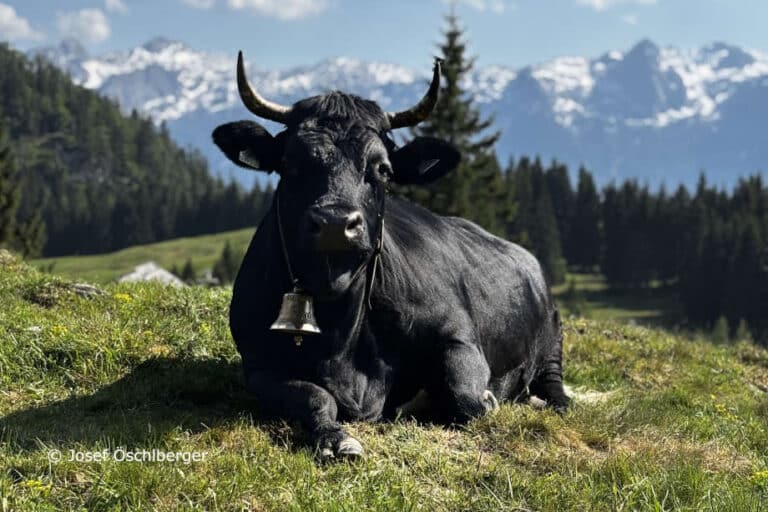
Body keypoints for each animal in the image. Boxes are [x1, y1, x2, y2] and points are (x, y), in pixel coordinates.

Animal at [212, 52, 569, 460]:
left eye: (382, 169)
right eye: (290, 164)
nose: (336, 222)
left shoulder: (458, 335)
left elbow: (465, 395)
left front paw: (483, 399)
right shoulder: (258, 364)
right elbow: (312, 396)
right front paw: (337, 438)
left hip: (553, 339)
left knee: (552, 383)